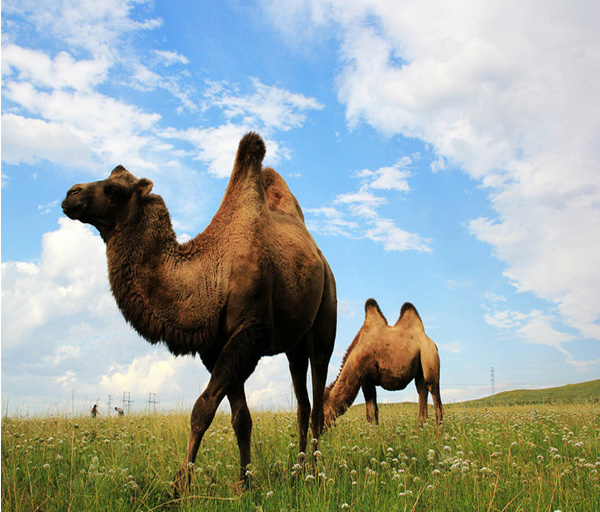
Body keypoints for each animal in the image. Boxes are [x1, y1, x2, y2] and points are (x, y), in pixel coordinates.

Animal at [62, 133, 338, 492]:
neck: (210, 274)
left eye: (114, 189)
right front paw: (244, 483)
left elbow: (202, 409)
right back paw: (298, 470)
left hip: (324, 323)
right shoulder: (215, 346)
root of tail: (322, 259)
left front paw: (179, 486)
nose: (70, 194)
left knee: (318, 398)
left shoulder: (251, 332)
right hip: (293, 344)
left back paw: (314, 474)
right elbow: (241, 419)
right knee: (302, 404)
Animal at [324, 298, 440, 434]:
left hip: (429, 356)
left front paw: (374, 437)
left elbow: (371, 414)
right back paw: (419, 433)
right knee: (422, 393)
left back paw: (438, 436)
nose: (312, 433)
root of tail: (432, 343)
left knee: (435, 396)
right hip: (419, 370)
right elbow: (375, 412)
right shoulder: (369, 382)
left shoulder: (366, 380)